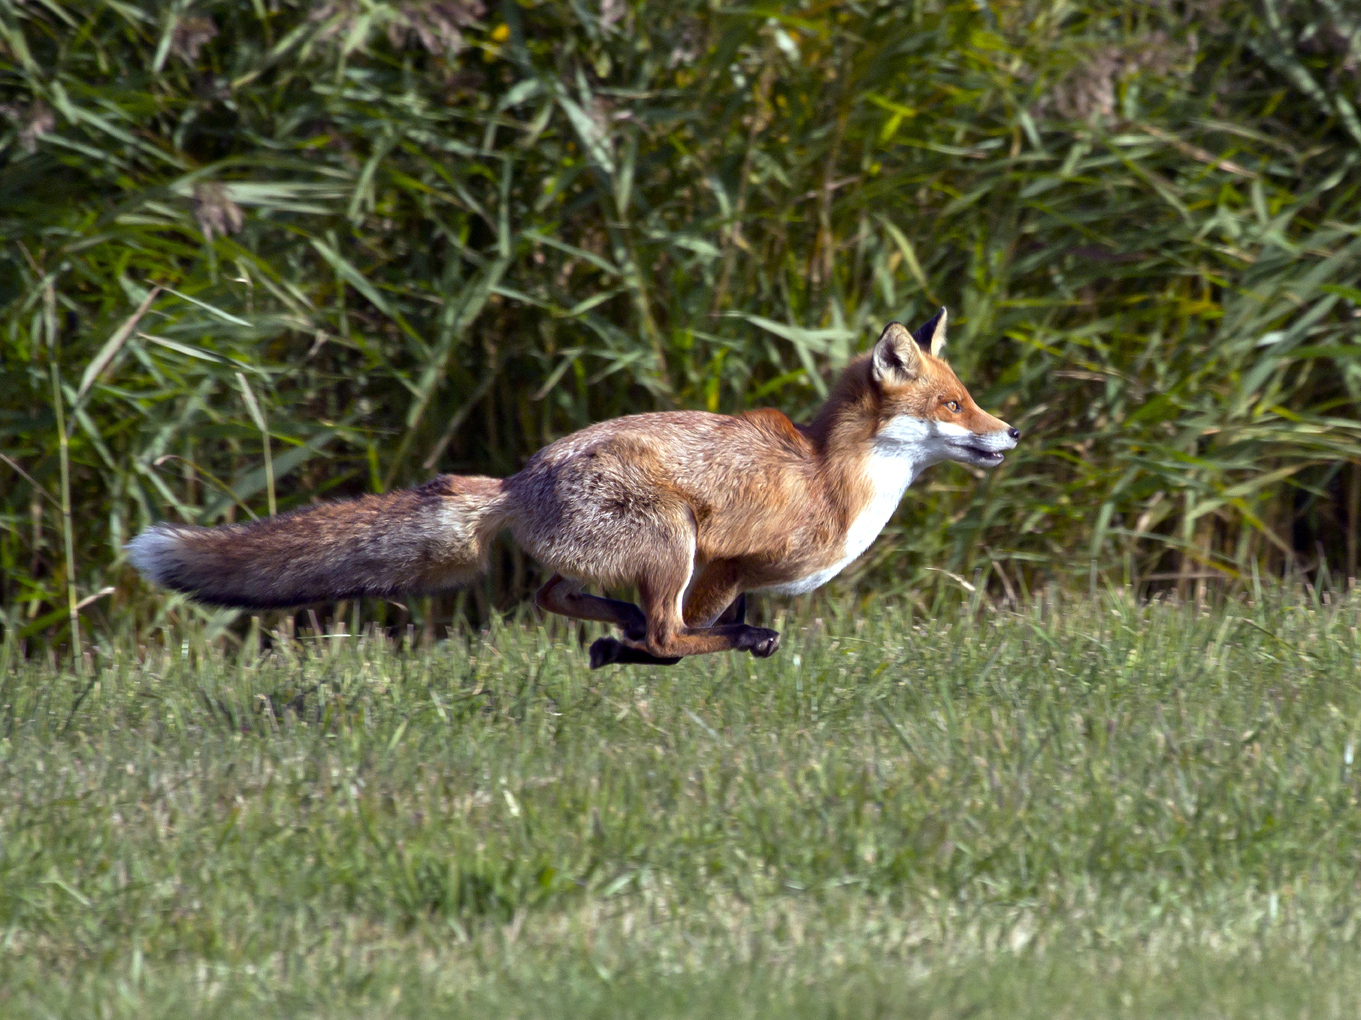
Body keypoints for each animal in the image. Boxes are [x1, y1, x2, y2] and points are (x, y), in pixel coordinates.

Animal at [127, 307, 1018, 667]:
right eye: (952, 406)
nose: (1009, 432)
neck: (834, 484)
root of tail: (518, 480)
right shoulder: (727, 561)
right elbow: (691, 627)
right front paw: (722, 638)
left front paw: (618, 645)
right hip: (668, 543)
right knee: (661, 631)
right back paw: (695, 643)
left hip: (623, 553)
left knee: (558, 595)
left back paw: (612, 632)